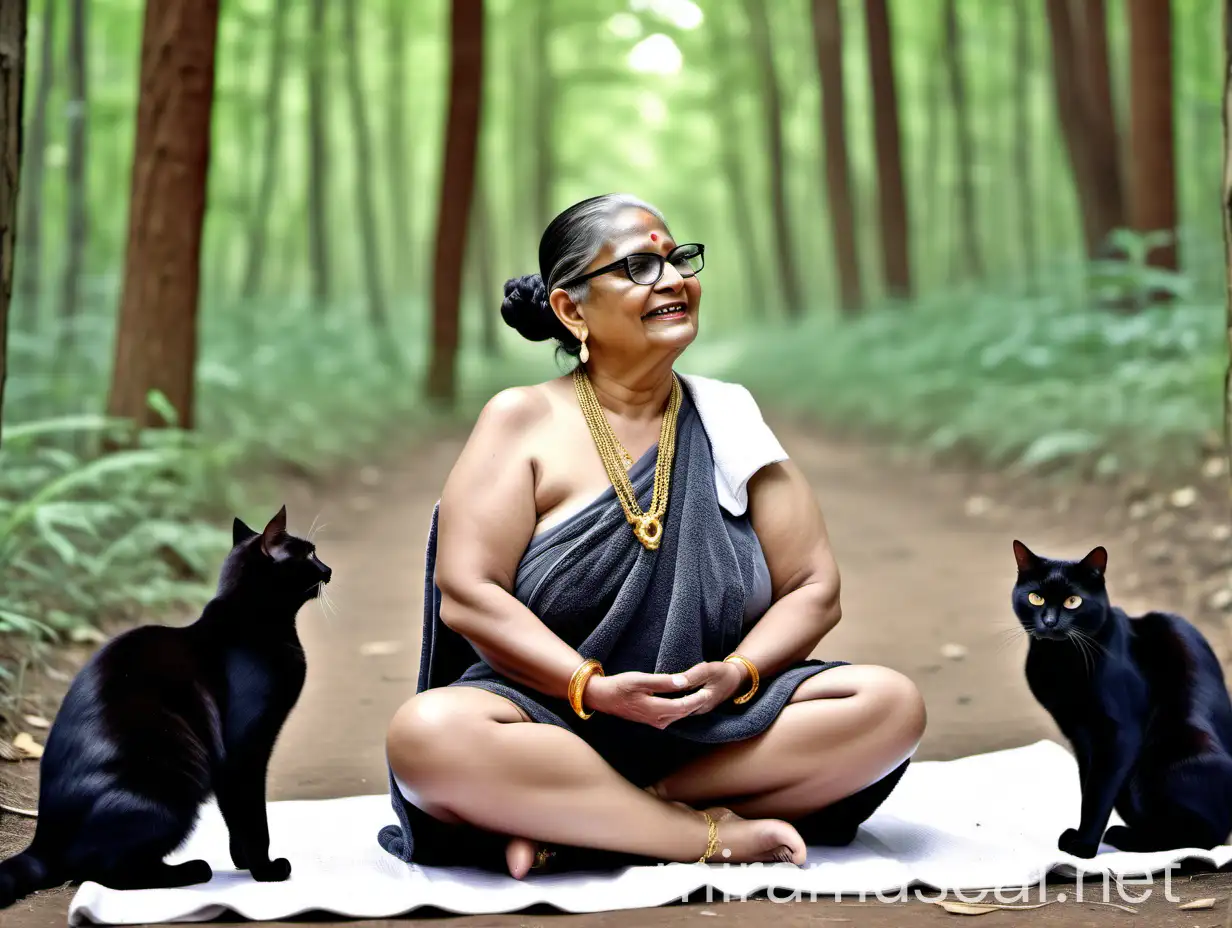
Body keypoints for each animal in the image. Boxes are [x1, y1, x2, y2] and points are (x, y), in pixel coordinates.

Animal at [0, 502, 330, 907]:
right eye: (310, 553)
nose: (328, 569)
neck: (255, 625)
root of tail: (43, 842)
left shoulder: (230, 766)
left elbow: (234, 816)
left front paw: (241, 861)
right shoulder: (244, 753)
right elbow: (253, 818)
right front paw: (265, 870)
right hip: (171, 791)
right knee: (106, 871)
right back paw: (191, 870)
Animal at [1010, 539, 1232, 857]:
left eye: (1073, 601)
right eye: (1036, 598)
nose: (1050, 621)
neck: (1059, 659)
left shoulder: (1119, 734)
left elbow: (1098, 793)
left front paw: (1084, 846)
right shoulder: (1081, 738)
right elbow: (1088, 787)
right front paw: (1082, 837)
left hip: (1159, 765)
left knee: (1205, 837)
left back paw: (1125, 836)